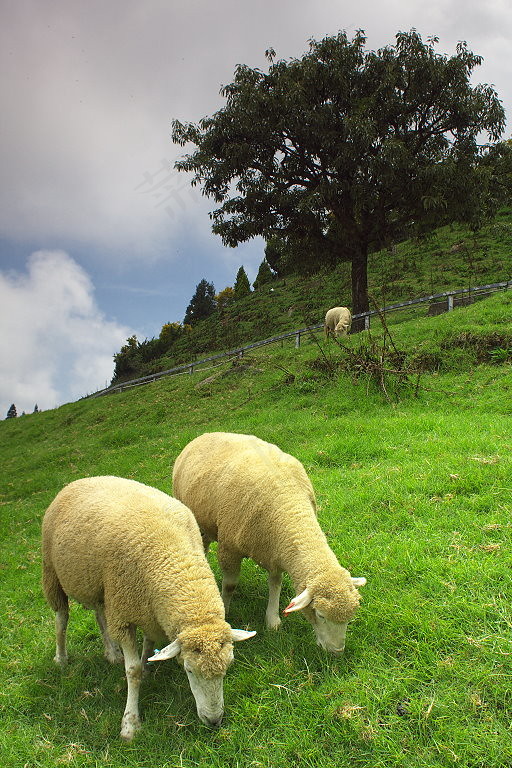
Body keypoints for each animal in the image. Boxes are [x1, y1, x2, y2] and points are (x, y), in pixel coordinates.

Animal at [41, 476, 256, 740]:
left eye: (228, 667)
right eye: (189, 671)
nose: (214, 721)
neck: (175, 558)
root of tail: (80, 480)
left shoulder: (146, 609)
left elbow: (148, 644)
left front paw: (146, 665)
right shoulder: (124, 615)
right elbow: (131, 671)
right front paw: (130, 723)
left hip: (100, 586)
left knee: (100, 615)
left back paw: (112, 653)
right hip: (52, 572)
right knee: (61, 619)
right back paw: (61, 658)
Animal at [174, 436, 366, 656]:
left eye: (350, 617)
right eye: (320, 615)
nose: (336, 651)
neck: (289, 506)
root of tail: (203, 435)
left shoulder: (276, 550)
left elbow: (275, 583)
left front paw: (272, 619)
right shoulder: (229, 548)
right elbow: (230, 586)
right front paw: (225, 611)